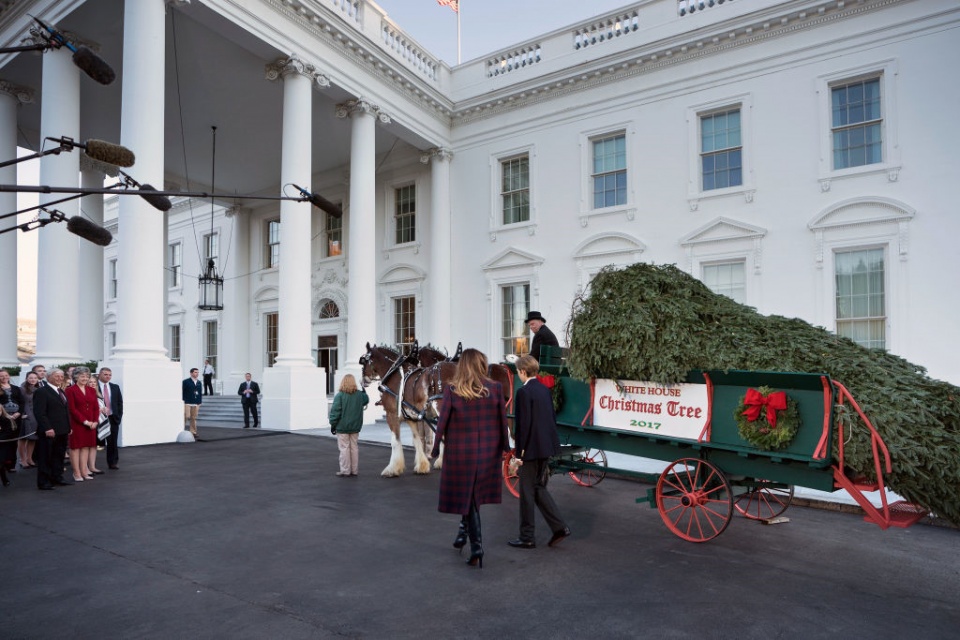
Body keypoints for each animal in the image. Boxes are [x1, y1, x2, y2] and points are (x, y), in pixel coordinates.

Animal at [360, 344, 458, 476]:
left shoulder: (391, 415)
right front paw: (422, 465)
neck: (394, 374)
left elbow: (395, 441)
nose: (362, 380)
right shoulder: (411, 418)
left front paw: (392, 468)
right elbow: (417, 439)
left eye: (363, 361)